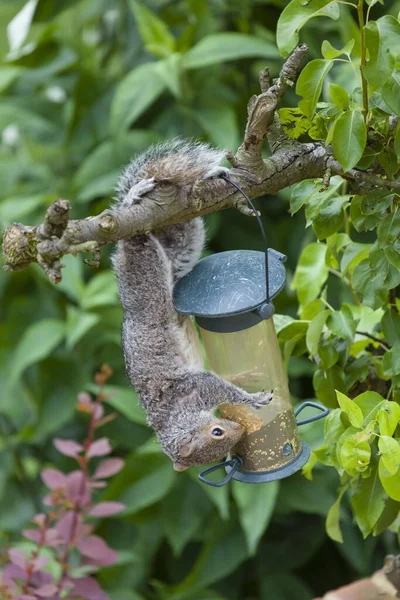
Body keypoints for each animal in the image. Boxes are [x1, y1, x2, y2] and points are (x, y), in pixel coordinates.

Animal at [113, 138, 276, 472]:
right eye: (218, 437)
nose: (239, 432)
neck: (176, 419)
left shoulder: (196, 389)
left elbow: (220, 385)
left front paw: (251, 396)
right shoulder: (199, 389)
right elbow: (224, 383)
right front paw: (249, 389)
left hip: (147, 268)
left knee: (138, 233)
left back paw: (139, 197)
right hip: (172, 256)